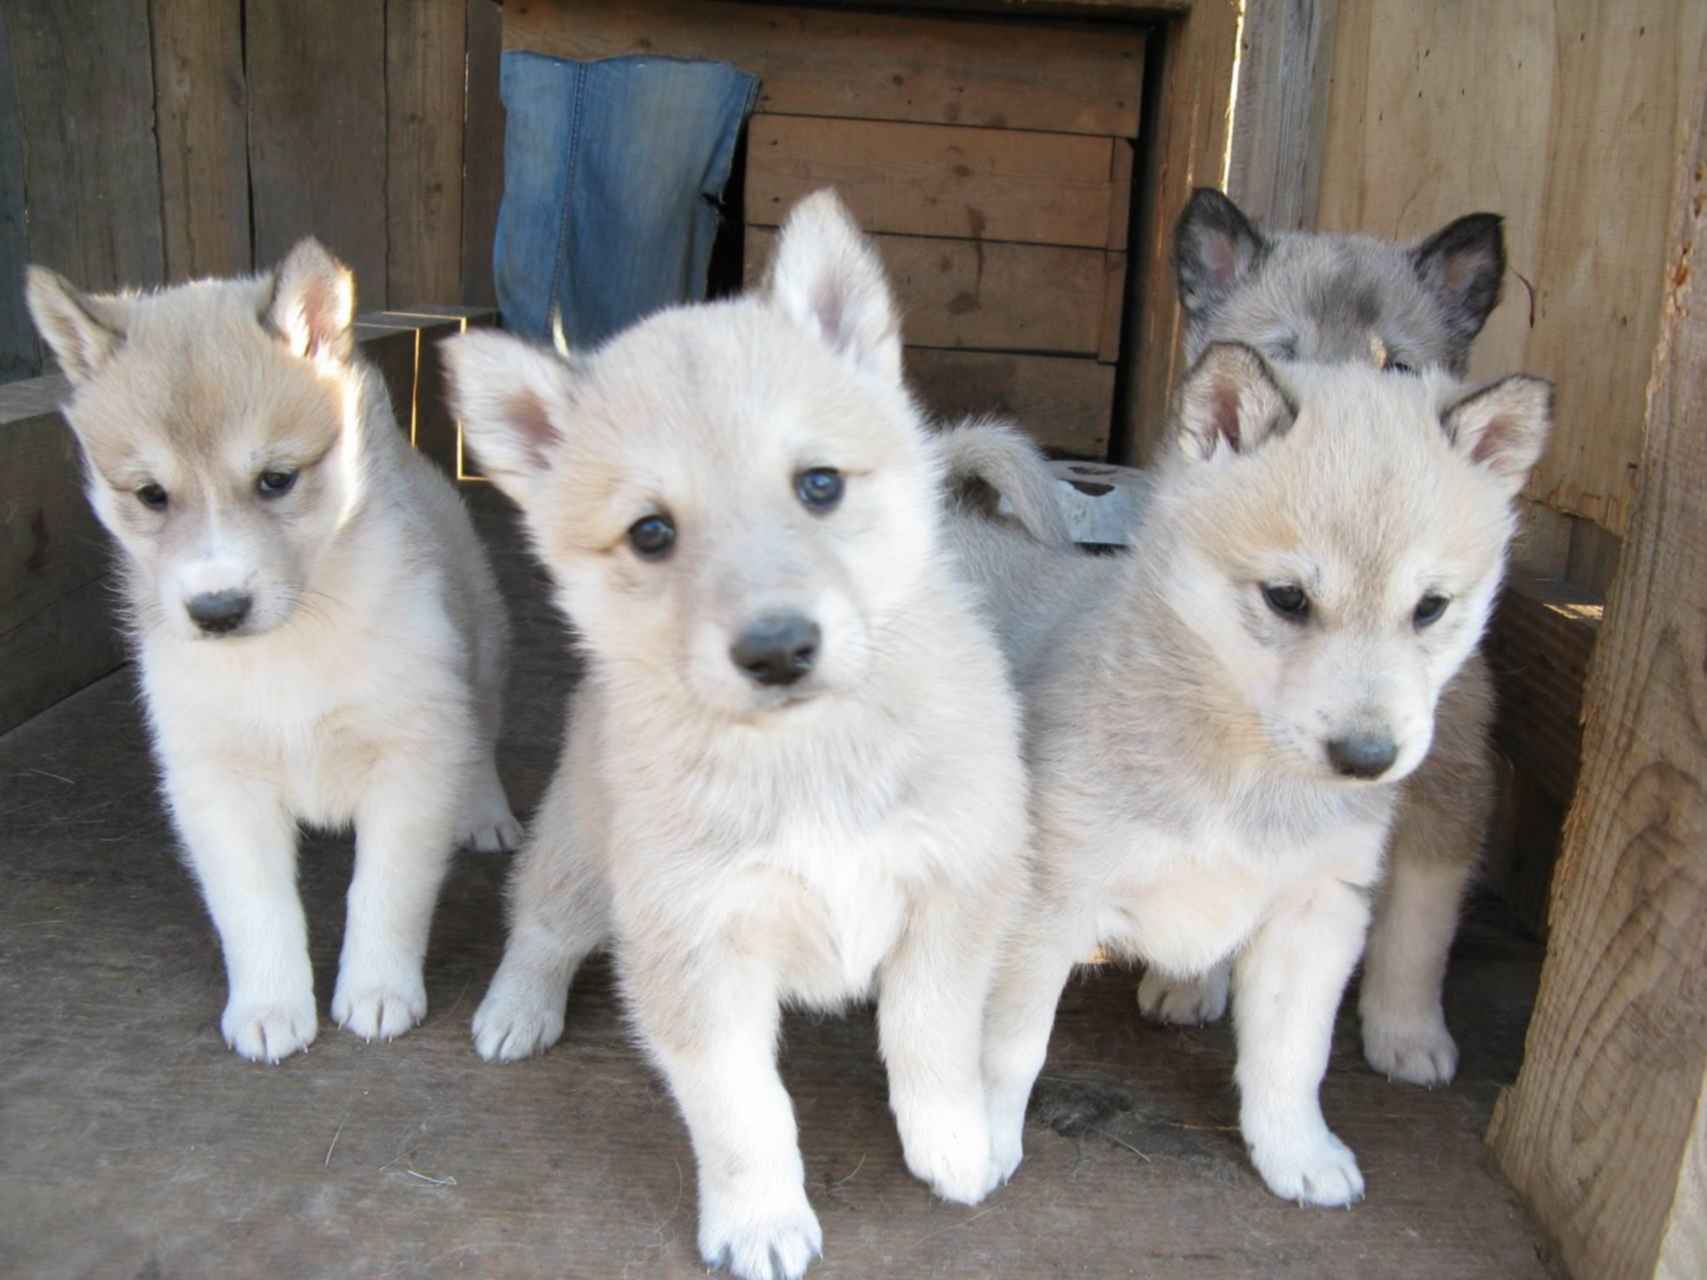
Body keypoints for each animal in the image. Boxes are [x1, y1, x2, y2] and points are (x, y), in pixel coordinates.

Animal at [26, 240, 515, 1064]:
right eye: (150, 495)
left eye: (276, 480)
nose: (217, 611)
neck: (289, 644)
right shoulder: (215, 780)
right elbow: (256, 907)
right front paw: (269, 1005)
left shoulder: (411, 756)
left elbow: (384, 892)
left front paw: (377, 991)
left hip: (478, 653)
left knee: (480, 736)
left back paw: (487, 811)